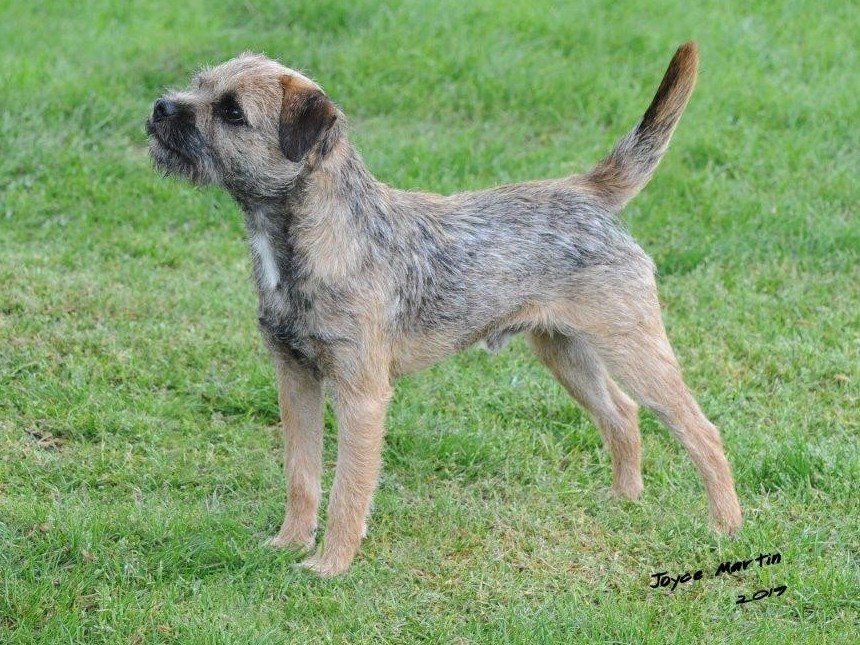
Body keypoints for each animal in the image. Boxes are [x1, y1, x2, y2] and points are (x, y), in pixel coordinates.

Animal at [147, 42, 742, 576]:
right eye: (199, 85)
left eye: (232, 112)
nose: (160, 107)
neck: (318, 238)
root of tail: (587, 192)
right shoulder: (295, 380)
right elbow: (302, 475)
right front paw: (289, 543)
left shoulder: (361, 395)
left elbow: (347, 488)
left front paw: (329, 566)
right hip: (565, 352)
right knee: (622, 414)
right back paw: (625, 500)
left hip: (633, 348)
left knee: (702, 431)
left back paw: (725, 527)